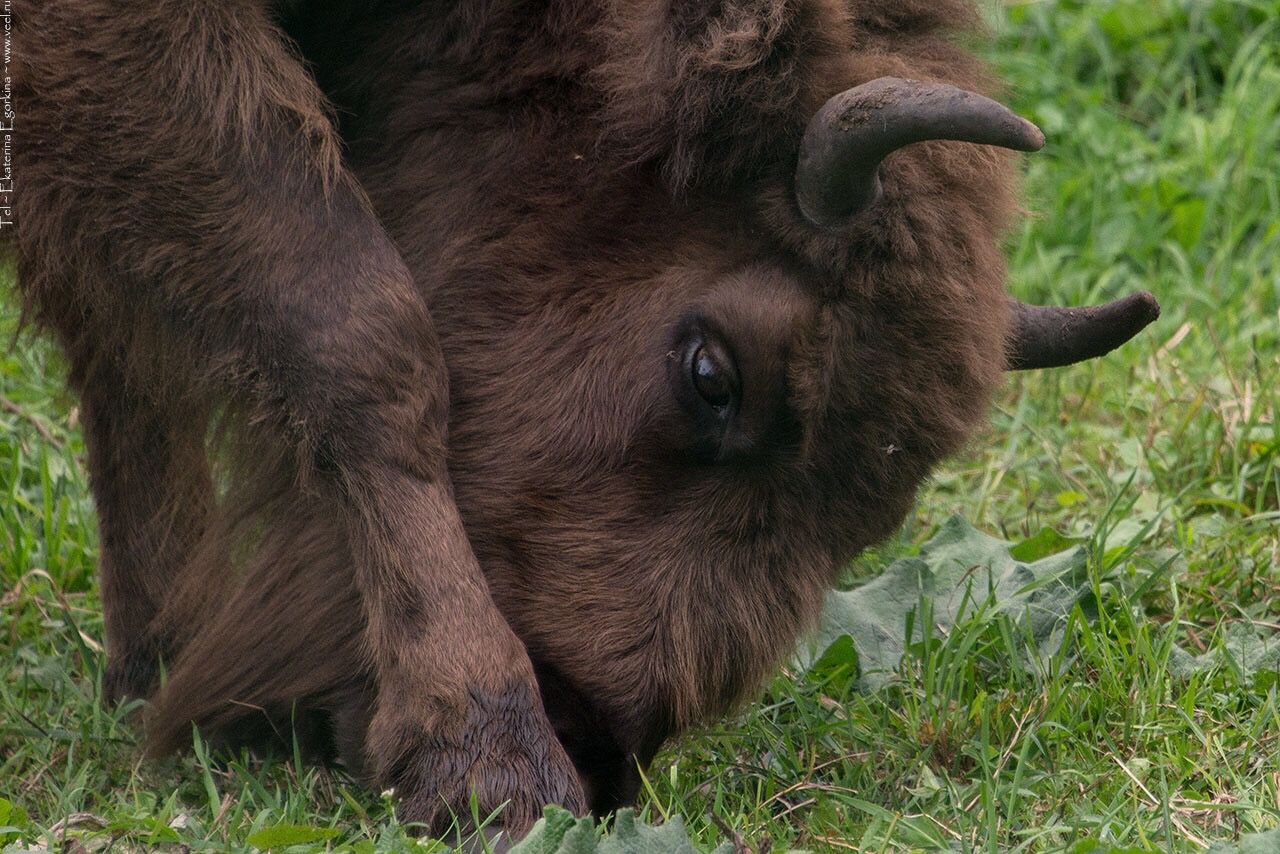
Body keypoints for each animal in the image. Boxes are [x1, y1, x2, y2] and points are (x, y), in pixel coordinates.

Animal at [7, 0, 1162, 839]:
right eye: (710, 372)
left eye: (878, 512)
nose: (592, 735)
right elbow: (358, 327)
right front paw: (489, 766)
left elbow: (130, 346)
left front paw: (153, 662)